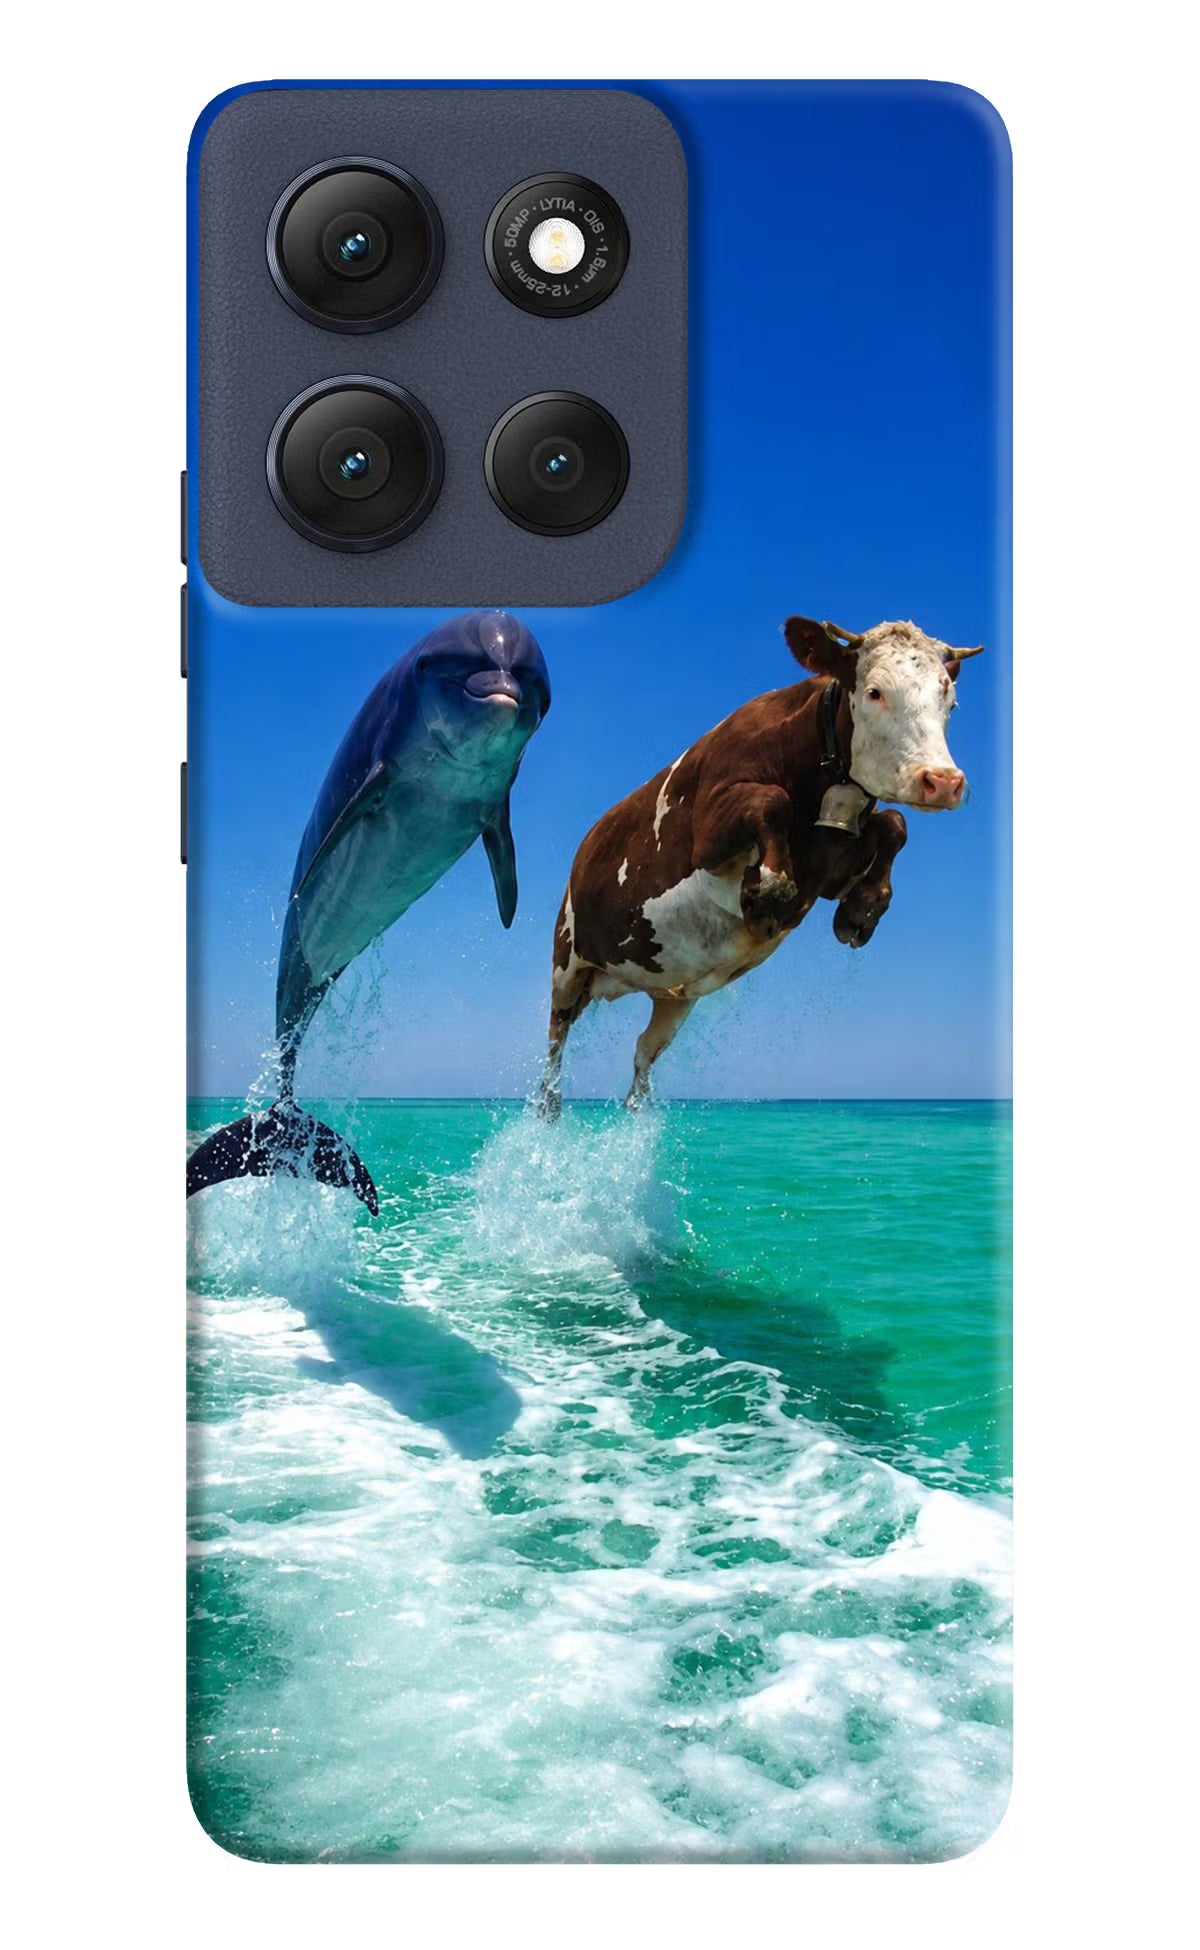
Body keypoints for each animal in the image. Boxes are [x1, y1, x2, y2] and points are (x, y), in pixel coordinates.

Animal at [537, 615, 983, 1116]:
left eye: (950, 699)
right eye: (874, 691)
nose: (942, 781)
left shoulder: (829, 867)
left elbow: (894, 823)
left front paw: (862, 909)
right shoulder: (709, 833)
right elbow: (772, 801)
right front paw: (768, 892)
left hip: (673, 995)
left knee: (643, 1052)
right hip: (566, 961)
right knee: (555, 1041)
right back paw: (548, 1106)